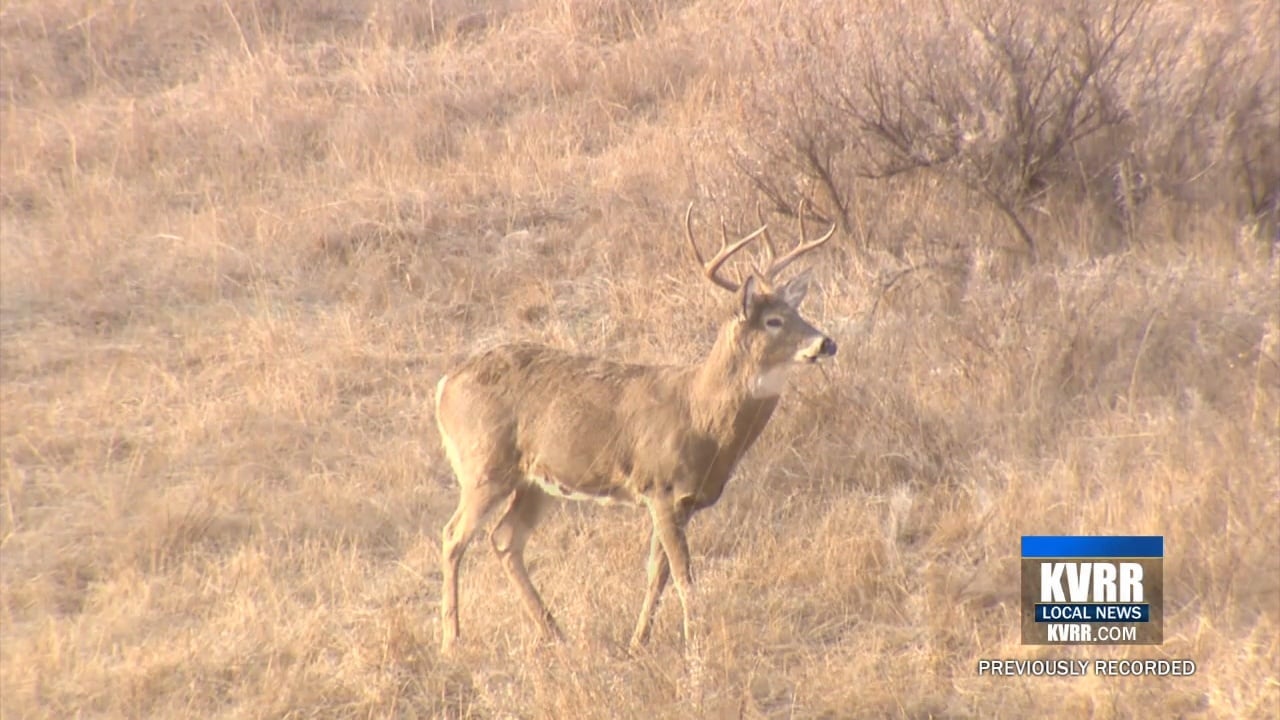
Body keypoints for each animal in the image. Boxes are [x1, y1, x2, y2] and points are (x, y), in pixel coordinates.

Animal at [434, 202, 838, 654]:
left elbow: (656, 574)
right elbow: (682, 576)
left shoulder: (683, 502)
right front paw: (695, 647)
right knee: (453, 536)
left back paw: (556, 634)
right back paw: (451, 640)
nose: (826, 342)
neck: (701, 415)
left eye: (798, 311)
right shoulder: (660, 486)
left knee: (504, 539)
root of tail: (445, 384)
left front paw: (638, 642)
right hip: (483, 466)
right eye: (773, 321)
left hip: (535, 482)